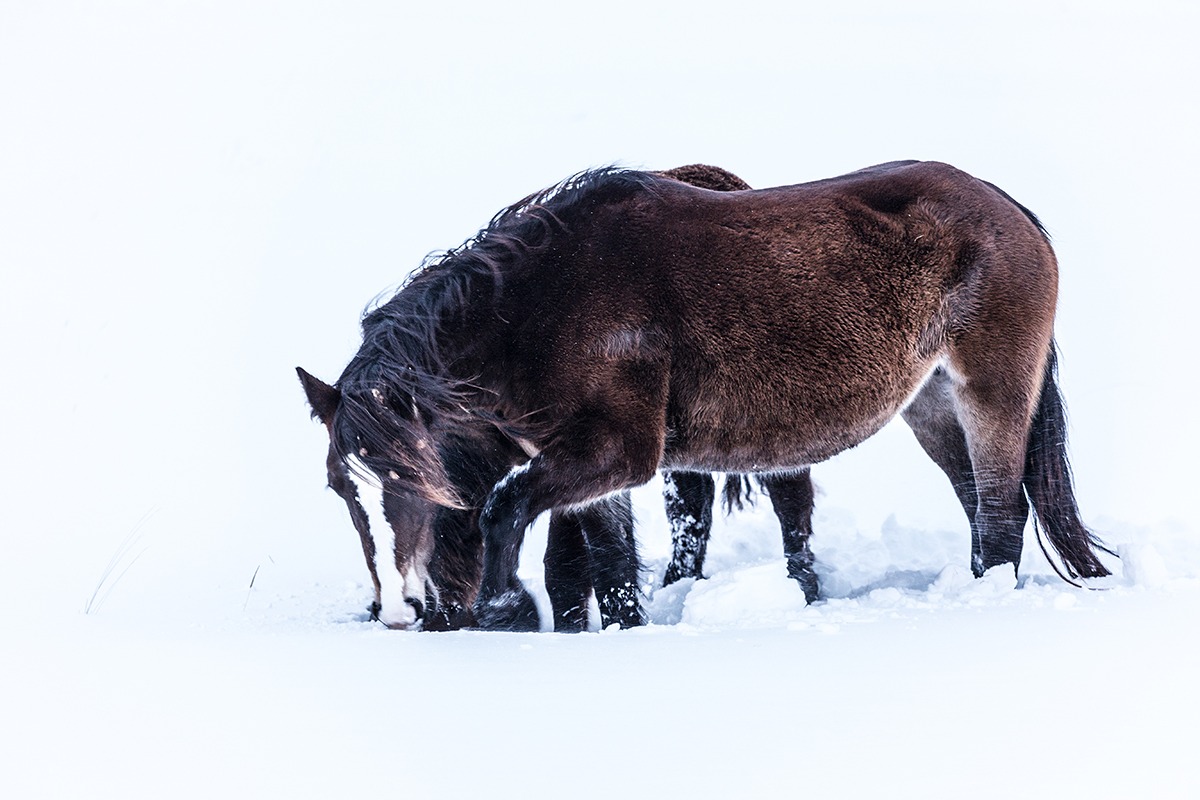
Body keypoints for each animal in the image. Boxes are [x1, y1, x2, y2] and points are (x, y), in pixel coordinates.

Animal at [302, 158, 1113, 633]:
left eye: (416, 478)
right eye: (344, 492)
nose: (399, 610)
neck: (538, 304)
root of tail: (1008, 206)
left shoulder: (616, 451)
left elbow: (506, 511)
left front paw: (507, 608)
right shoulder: (588, 465)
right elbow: (609, 568)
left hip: (991, 394)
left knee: (1002, 517)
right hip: (934, 407)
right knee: (979, 510)